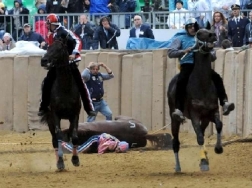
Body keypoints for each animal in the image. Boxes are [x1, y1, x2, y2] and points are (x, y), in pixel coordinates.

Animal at [40, 38, 80, 170]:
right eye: (48, 47)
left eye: (58, 49)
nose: (43, 61)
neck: (65, 87)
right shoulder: (55, 114)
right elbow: (58, 136)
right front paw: (61, 162)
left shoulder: (75, 114)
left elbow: (74, 136)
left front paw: (75, 159)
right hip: (49, 120)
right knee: (54, 139)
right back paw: (59, 162)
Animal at [168, 22, 223, 172]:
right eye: (199, 33)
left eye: (209, 29)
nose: (212, 35)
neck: (202, 85)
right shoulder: (194, 114)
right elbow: (199, 138)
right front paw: (203, 162)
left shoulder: (212, 111)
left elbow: (219, 126)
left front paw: (218, 149)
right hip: (174, 119)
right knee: (175, 142)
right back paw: (178, 167)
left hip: (205, 119)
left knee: (202, 132)